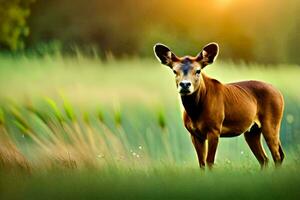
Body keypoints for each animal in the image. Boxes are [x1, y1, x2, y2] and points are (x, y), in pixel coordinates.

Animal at [154, 42, 284, 169]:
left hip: (272, 123)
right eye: (174, 71)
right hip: (252, 130)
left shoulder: (214, 128)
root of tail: (279, 93)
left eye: (198, 71)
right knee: (265, 159)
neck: (195, 113)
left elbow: (209, 162)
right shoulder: (194, 133)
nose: (185, 84)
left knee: (277, 156)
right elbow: (202, 164)